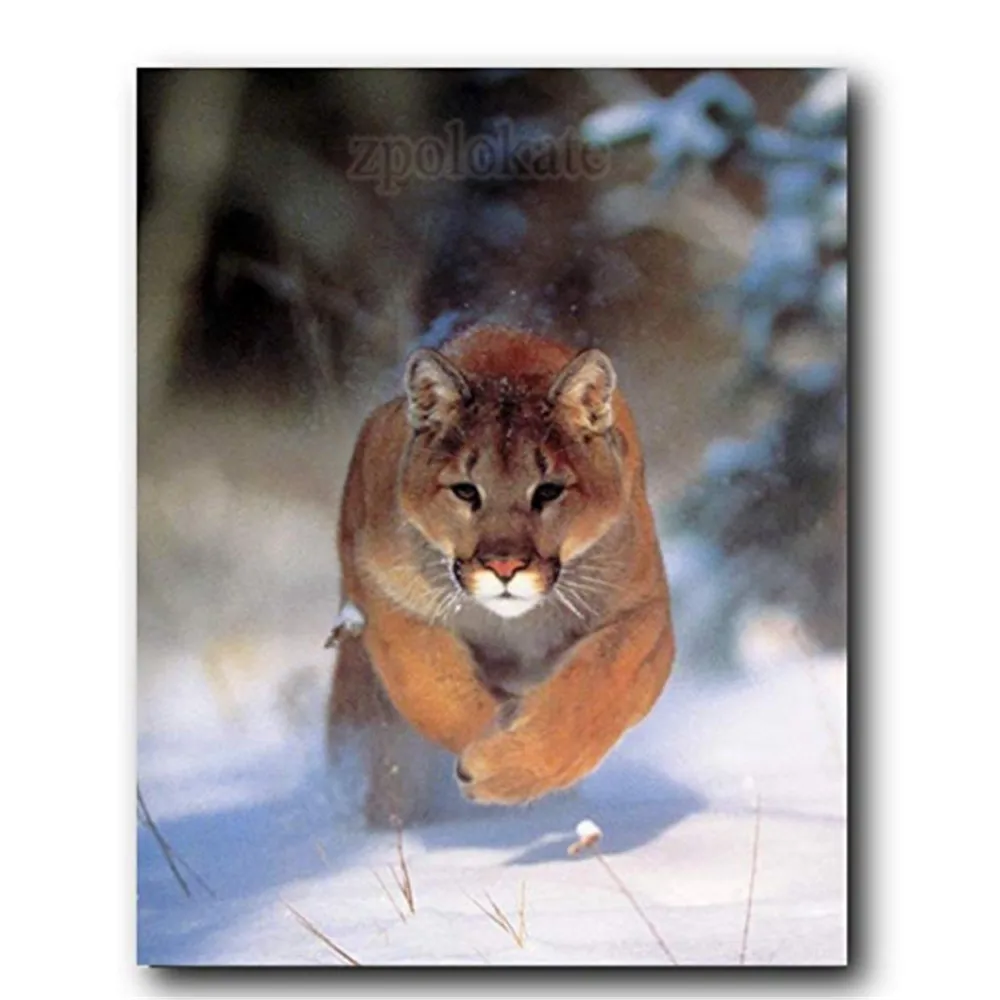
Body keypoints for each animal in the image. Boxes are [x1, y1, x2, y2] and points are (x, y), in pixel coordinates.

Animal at [327, 325, 674, 825]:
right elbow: (436, 690)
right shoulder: (387, 597)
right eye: (465, 491)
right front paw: (491, 743)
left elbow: (594, 694)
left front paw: (510, 767)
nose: (504, 566)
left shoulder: (642, 611)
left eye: (548, 491)